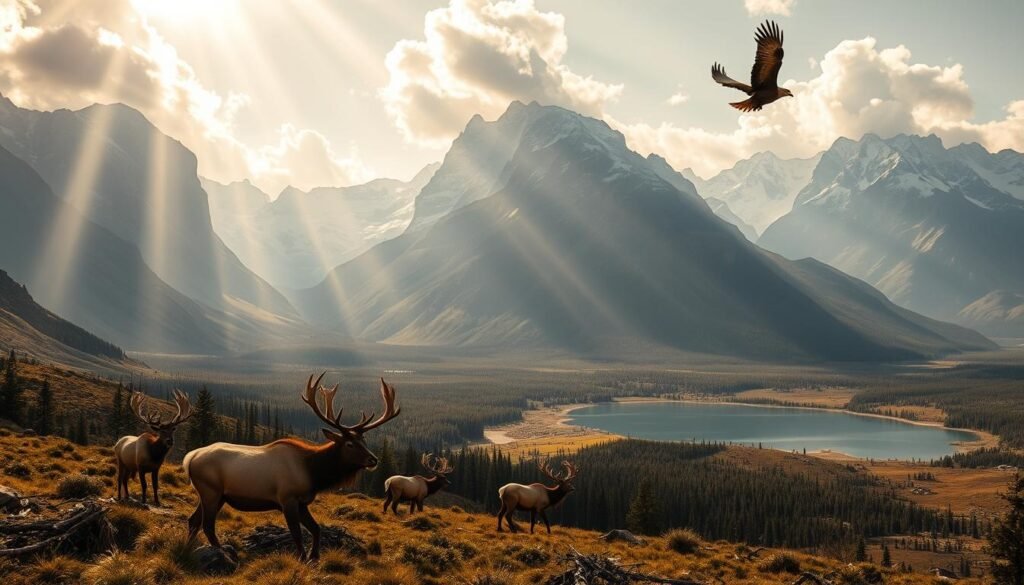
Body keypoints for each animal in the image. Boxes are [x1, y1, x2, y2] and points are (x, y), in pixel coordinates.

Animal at [183, 373, 400, 561]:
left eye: (363, 440)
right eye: (349, 444)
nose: (373, 460)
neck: (314, 474)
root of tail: (190, 458)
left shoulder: (303, 502)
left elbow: (316, 528)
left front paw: (315, 556)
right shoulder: (287, 498)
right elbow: (296, 533)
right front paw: (303, 558)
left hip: (216, 496)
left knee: (193, 521)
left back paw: (188, 549)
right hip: (211, 491)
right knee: (207, 525)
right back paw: (221, 552)